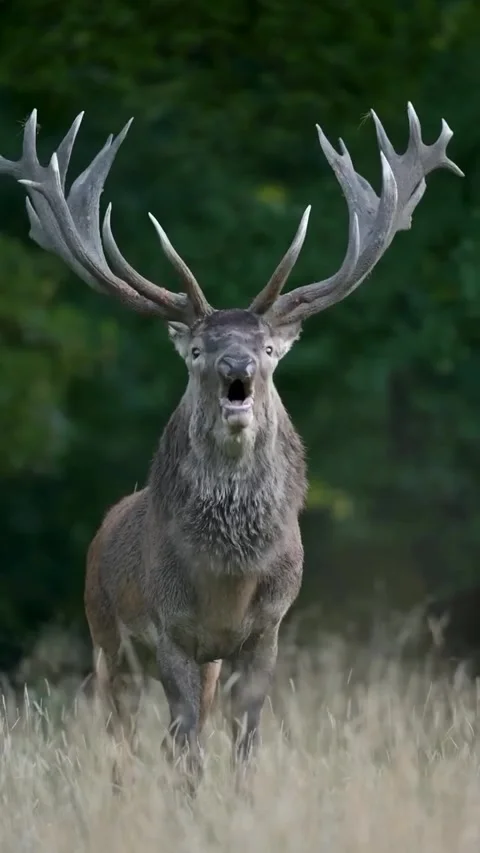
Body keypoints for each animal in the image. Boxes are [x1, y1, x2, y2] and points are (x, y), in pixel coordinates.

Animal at [0, 103, 462, 791]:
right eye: (198, 349)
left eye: (268, 348)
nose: (235, 365)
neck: (229, 576)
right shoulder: (168, 628)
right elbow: (185, 740)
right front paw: (189, 800)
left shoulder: (267, 628)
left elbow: (246, 737)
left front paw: (239, 797)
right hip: (105, 632)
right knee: (119, 733)